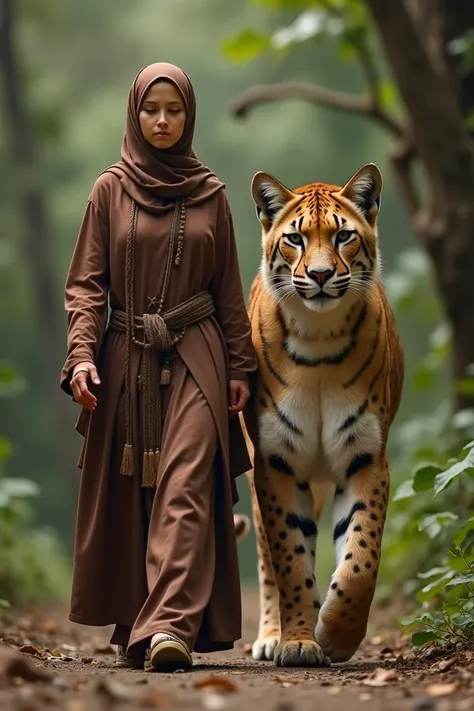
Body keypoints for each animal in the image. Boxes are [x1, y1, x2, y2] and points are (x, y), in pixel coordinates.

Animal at [239, 165, 406, 668]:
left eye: (343, 235)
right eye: (295, 239)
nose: (319, 274)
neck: (318, 339)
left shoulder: (365, 458)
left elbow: (360, 558)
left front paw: (336, 635)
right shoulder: (275, 463)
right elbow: (290, 562)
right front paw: (297, 641)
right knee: (266, 561)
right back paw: (270, 636)